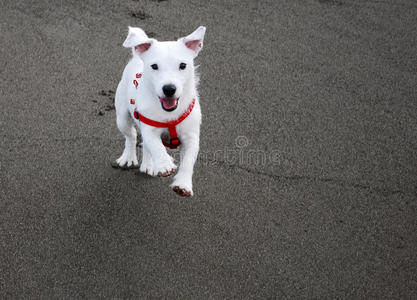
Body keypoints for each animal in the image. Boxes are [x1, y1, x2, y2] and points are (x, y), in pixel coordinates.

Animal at [113, 25, 206, 197]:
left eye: (183, 65)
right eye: (154, 66)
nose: (169, 89)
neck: (169, 114)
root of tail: (137, 58)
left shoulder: (191, 137)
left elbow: (188, 160)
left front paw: (183, 184)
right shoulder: (149, 129)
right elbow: (156, 146)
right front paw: (164, 164)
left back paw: (149, 165)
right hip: (122, 118)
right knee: (131, 136)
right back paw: (129, 157)